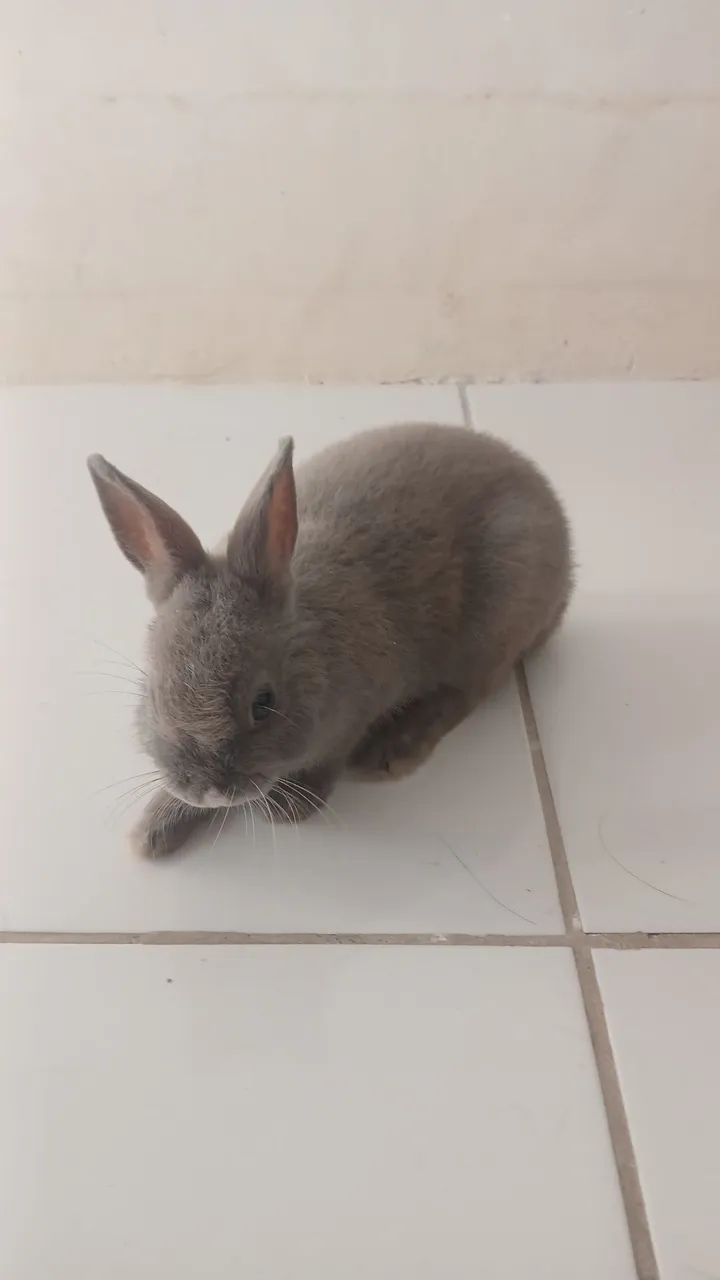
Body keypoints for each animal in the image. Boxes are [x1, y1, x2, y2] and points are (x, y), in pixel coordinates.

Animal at [87, 423, 572, 858]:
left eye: (264, 704)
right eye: (153, 695)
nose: (211, 790)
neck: (310, 647)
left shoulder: (357, 710)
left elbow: (330, 757)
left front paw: (289, 807)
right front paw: (151, 832)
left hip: (494, 622)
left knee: (466, 691)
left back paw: (392, 750)